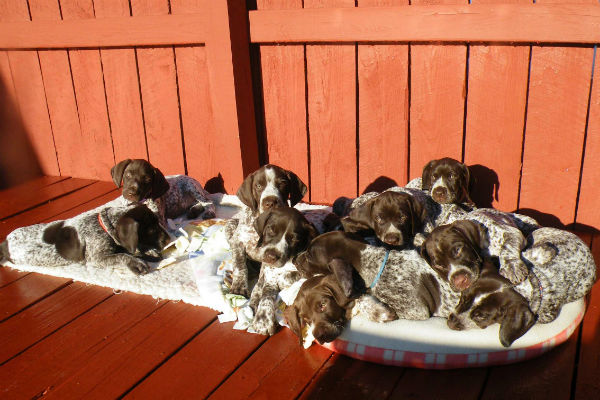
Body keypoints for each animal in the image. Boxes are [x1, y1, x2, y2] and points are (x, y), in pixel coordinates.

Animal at [1, 203, 170, 276]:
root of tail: (5, 242)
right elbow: (122, 255)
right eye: (152, 229)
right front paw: (137, 263)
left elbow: (128, 249)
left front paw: (148, 252)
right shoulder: (96, 258)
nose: (168, 240)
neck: (102, 226)